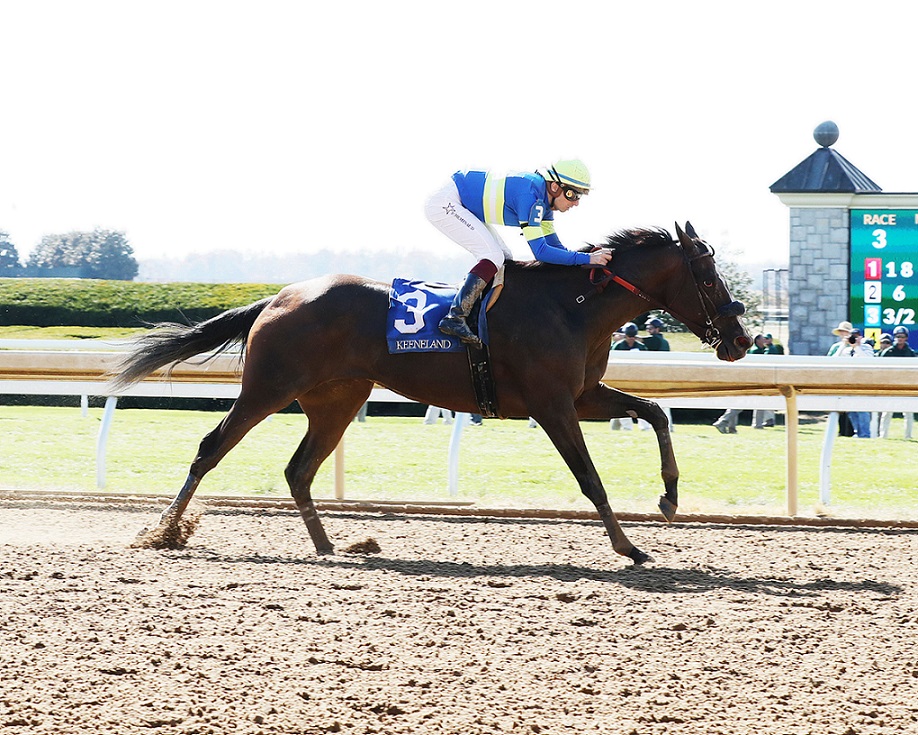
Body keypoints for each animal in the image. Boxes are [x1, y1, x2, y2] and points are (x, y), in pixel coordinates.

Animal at [111, 222, 750, 565]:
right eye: (709, 276)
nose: (741, 339)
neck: (573, 307)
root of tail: (278, 297)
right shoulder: (552, 406)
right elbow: (590, 478)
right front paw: (629, 548)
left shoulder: (582, 396)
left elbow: (657, 412)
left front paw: (669, 498)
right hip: (269, 387)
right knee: (211, 447)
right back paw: (163, 532)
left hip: (337, 399)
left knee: (298, 469)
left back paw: (332, 547)